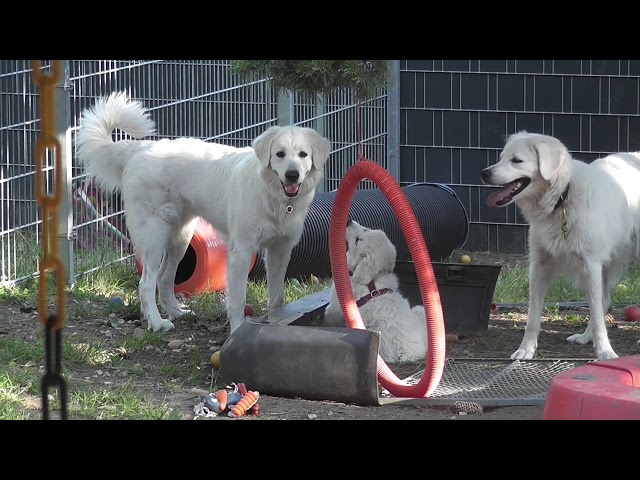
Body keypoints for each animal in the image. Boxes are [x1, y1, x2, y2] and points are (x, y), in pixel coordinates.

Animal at [76, 92, 332, 334]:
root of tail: (140, 148)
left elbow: (277, 297)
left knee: (164, 278)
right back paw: (157, 323)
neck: (273, 195)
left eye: (303, 154)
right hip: (155, 236)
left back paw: (175, 312)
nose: (292, 175)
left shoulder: (280, 249)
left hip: (180, 237)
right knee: (146, 283)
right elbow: (238, 300)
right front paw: (237, 331)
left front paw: (276, 321)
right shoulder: (241, 250)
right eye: (279, 154)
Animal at [323, 220, 428, 363]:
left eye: (357, 240)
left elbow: (330, 314)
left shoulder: (336, 303)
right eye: (366, 228)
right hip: (420, 311)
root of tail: (407, 354)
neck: (372, 281)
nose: (348, 221)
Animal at [481, 131, 640, 360]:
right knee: (605, 300)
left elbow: (596, 313)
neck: (562, 198)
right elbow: (532, 318)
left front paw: (604, 351)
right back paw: (585, 337)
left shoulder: (591, 266)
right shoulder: (539, 266)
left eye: (516, 160)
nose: (484, 174)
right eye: (501, 158)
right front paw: (525, 349)